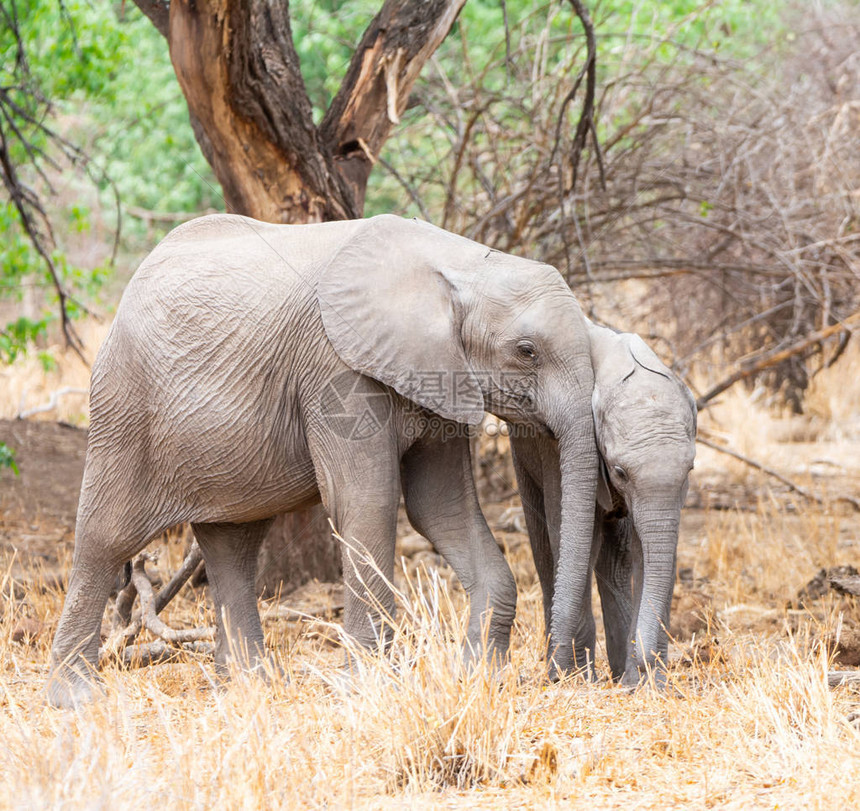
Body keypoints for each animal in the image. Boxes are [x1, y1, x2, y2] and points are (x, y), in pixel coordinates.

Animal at [47, 213, 596, 708]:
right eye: (526, 351)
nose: (553, 675)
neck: (458, 262)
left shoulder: (439, 376)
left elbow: (440, 508)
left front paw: (481, 676)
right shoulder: (336, 370)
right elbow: (366, 504)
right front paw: (370, 688)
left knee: (234, 545)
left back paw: (254, 687)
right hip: (124, 406)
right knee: (107, 537)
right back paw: (77, 698)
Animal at [512, 322, 696, 684]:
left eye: (690, 471)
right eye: (620, 471)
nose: (648, 660)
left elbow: (647, 552)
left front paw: (646, 684)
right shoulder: (558, 450)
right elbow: (578, 539)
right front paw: (575, 679)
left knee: (617, 557)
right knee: (546, 544)